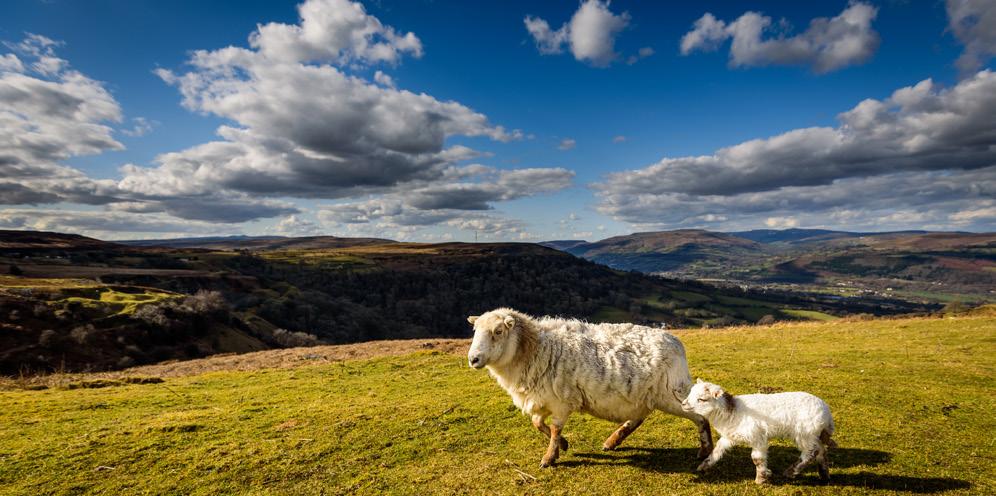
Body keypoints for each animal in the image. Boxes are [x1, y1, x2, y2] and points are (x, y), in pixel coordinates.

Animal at [468, 306, 716, 468]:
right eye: (475, 331)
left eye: (498, 331)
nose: (473, 359)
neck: (533, 349)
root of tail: (676, 343)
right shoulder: (542, 398)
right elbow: (538, 423)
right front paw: (563, 445)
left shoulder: (561, 402)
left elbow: (554, 428)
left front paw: (549, 458)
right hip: (643, 395)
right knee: (638, 417)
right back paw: (613, 440)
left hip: (672, 392)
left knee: (700, 416)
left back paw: (705, 450)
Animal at [680, 380, 836, 484]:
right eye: (690, 393)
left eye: (702, 399)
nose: (683, 404)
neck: (732, 411)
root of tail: (827, 413)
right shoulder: (729, 436)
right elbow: (717, 451)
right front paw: (704, 466)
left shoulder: (757, 436)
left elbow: (757, 458)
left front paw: (761, 478)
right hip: (814, 434)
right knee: (821, 450)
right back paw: (824, 474)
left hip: (805, 432)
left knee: (811, 452)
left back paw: (791, 471)